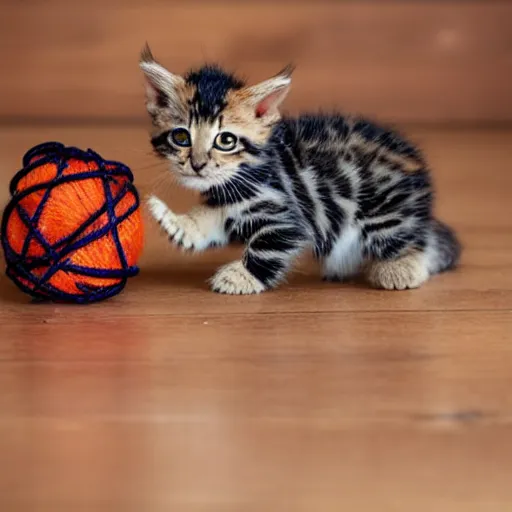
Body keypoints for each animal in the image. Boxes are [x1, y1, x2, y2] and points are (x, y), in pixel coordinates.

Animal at [139, 45, 460, 296]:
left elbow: (269, 245)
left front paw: (241, 277)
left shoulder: (285, 212)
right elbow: (210, 220)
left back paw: (402, 269)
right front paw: (178, 224)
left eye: (225, 141)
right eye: (181, 137)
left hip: (383, 212)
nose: (197, 164)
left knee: (411, 240)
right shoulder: (230, 204)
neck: (245, 174)